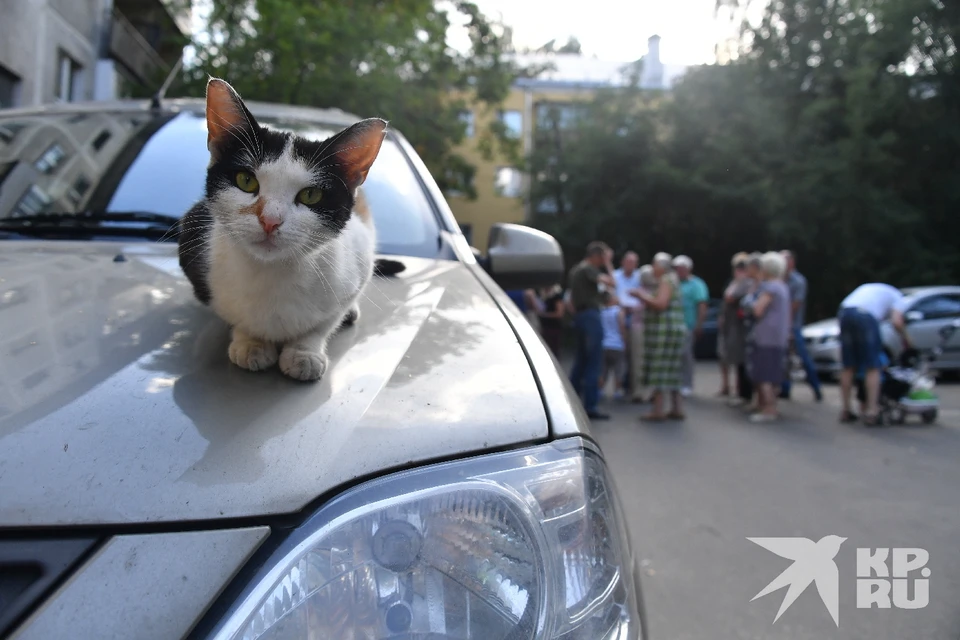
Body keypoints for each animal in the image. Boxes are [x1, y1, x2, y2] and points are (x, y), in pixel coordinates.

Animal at [180, 79, 386, 380]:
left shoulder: (358, 264)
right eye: (246, 181)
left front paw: (304, 352)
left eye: (311, 195)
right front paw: (251, 342)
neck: (271, 273)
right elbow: (235, 316)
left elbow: (323, 323)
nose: (270, 220)